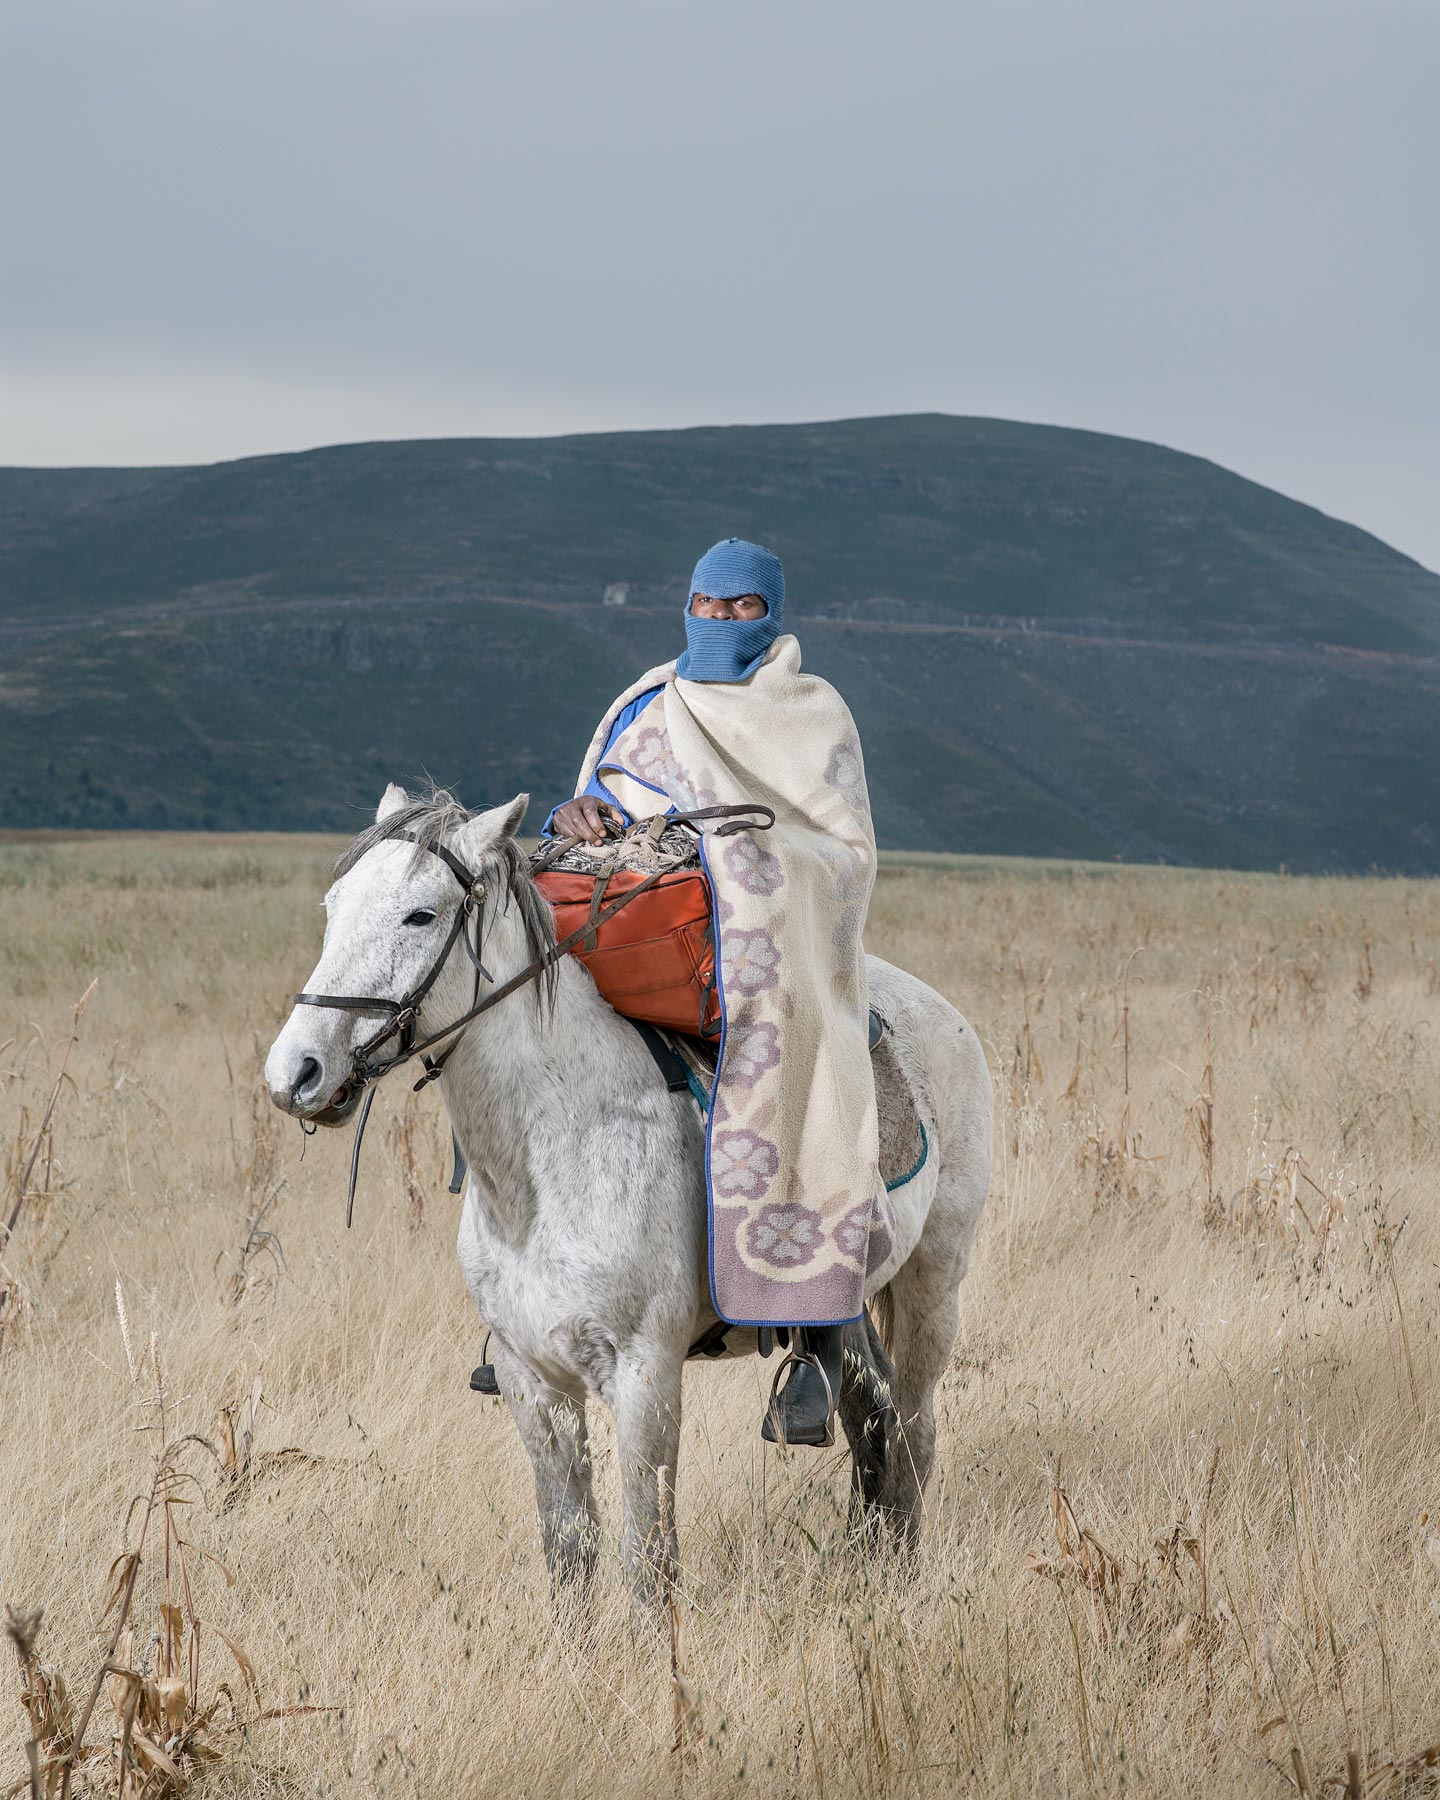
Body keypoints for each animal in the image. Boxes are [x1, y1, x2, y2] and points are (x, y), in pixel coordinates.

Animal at [266, 788, 993, 1605]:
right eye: (333, 907)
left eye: (420, 915)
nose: (296, 1072)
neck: (550, 1164)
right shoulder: (532, 1381)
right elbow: (569, 1554)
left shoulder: (645, 1377)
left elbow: (647, 1562)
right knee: (873, 1415)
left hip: (934, 1278)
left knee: (915, 1428)